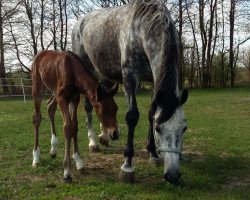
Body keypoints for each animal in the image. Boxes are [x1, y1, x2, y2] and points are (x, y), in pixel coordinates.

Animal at [31, 49, 119, 181]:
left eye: (116, 109)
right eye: (103, 110)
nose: (115, 133)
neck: (72, 71)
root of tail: (40, 54)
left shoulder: (74, 98)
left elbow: (75, 126)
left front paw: (79, 163)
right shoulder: (62, 97)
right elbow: (67, 127)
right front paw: (67, 171)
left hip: (54, 91)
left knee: (50, 107)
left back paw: (53, 149)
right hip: (39, 87)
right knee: (37, 117)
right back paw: (36, 158)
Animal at [72, 0, 188, 184]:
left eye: (184, 129)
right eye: (158, 129)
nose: (173, 176)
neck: (142, 29)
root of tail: (79, 23)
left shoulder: (154, 80)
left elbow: (151, 112)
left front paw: (153, 154)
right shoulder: (130, 78)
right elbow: (132, 116)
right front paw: (127, 166)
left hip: (105, 75)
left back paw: (104, 136)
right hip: (87, 68)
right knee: (89, 105)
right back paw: (93, 142)